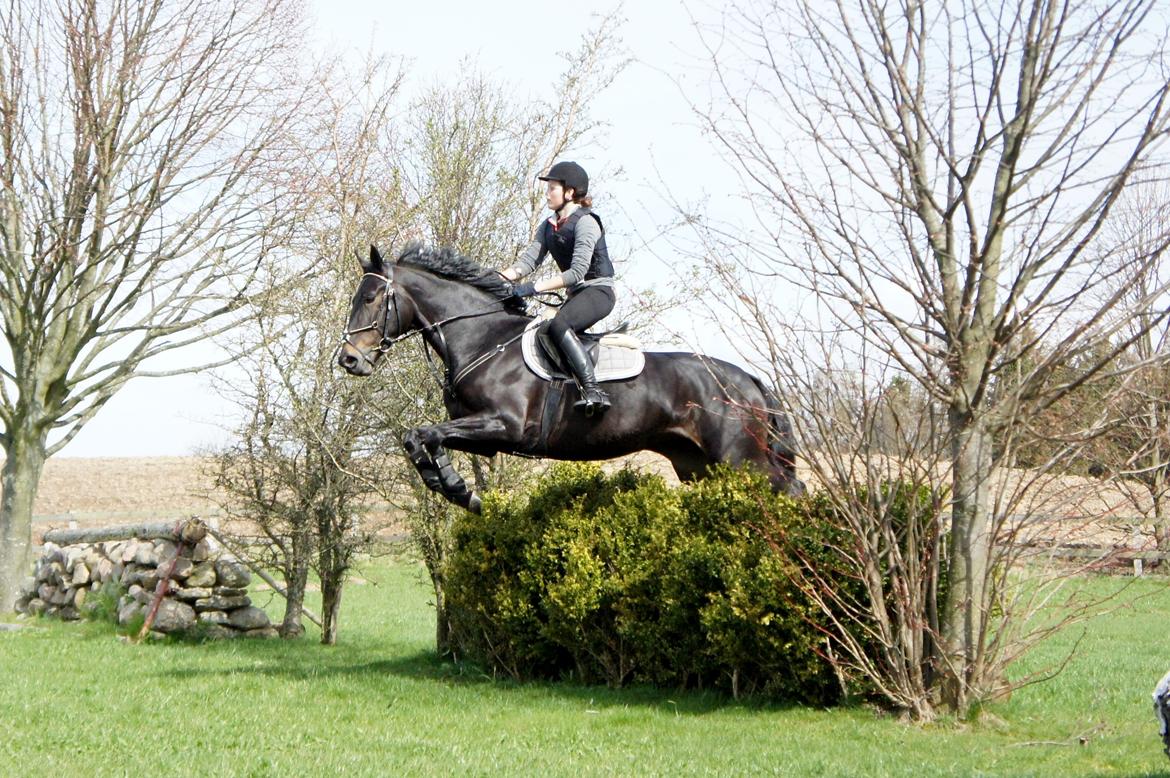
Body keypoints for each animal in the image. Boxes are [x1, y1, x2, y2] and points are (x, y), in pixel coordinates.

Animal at [339, 243, 804, 510]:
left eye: (371, 297)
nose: (349, 360)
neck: (483, 338)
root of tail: (750, 380)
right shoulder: (484, 437)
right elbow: (419, 437)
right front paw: (454, 487)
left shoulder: (505, 425)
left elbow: (426, 433)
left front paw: (455, 486)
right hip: (700, 466)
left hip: (740, 458)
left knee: (791, 489)